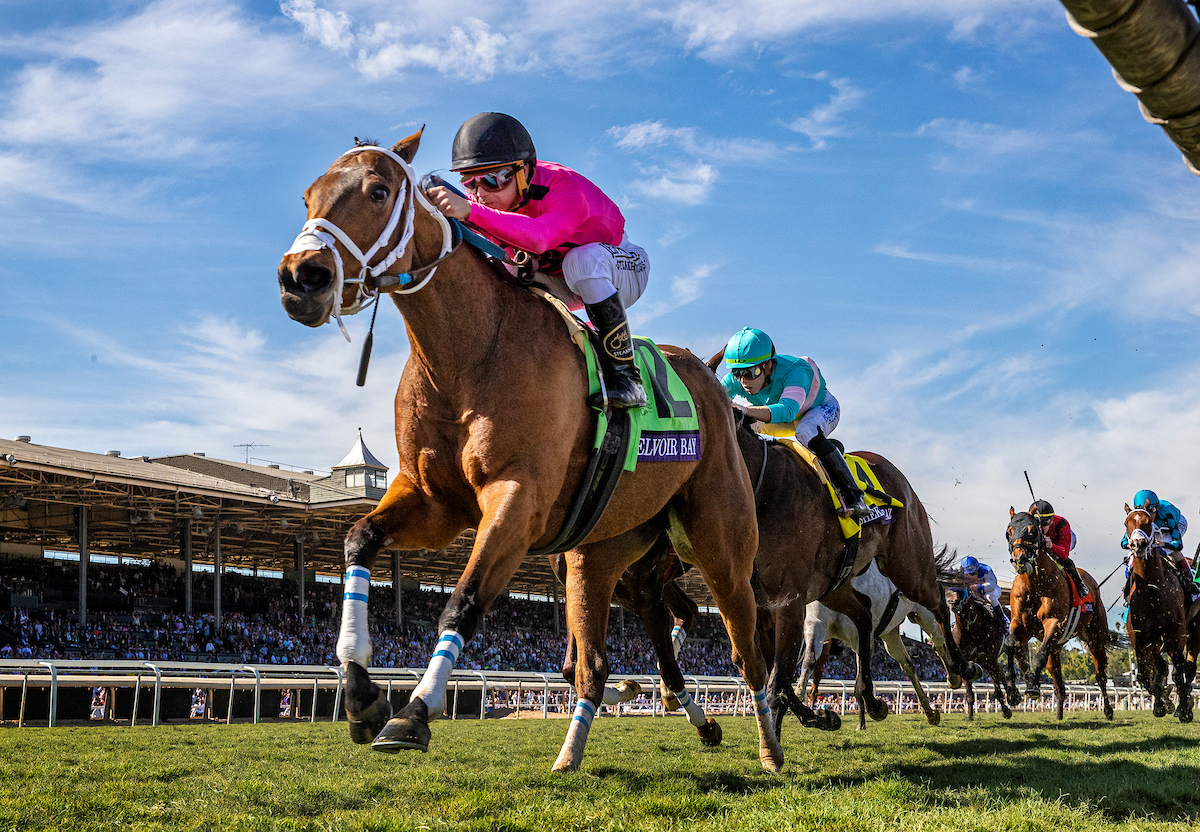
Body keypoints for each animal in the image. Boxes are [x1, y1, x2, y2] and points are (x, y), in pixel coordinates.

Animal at [278, 131, 787, 773]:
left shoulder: (517, 497)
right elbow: (358, 539)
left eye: (377, 190)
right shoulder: (435, 502)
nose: (301, 277)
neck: (469, 354)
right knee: (614, 645)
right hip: (604, 550)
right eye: (306, 196)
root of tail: (709, 380)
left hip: (719, 543)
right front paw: (360, 690)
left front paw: (413, 713)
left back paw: (769, 745)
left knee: (745, 644)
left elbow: (464, 601)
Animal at [945, 590, 1012, 720]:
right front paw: (970, 716)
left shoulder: (989, 659)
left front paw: (1007, 710)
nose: (952, 602)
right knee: (1000, 675)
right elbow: (970, 694)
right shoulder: (965, 664)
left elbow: (998, 685)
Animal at [998, 506, 1108, 720]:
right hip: (1053, 646)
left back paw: (1108, 710)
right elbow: (1010, 645)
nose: (1019, 558)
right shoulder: (1018, 622)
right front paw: (1013, 690)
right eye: (1009, 530)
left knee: (1100, 676)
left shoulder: (1053, 622)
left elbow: (1039, 655)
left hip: (1095, 637)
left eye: (1032, 530)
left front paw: (1032, 687)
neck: (1035, 585)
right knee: (1054, 679)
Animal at [1118, 501, 1195, 725]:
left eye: (1147, 521)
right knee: (1162, 666)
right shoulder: (1141, 638)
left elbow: (1178, 670)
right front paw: (1162, 704)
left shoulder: (1176, 633)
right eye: (1127, 522)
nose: (1138, 545)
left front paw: (1183, 709)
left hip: (1192, 631)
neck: (1153, 591)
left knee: (1187, 667)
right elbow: (1146, 675)